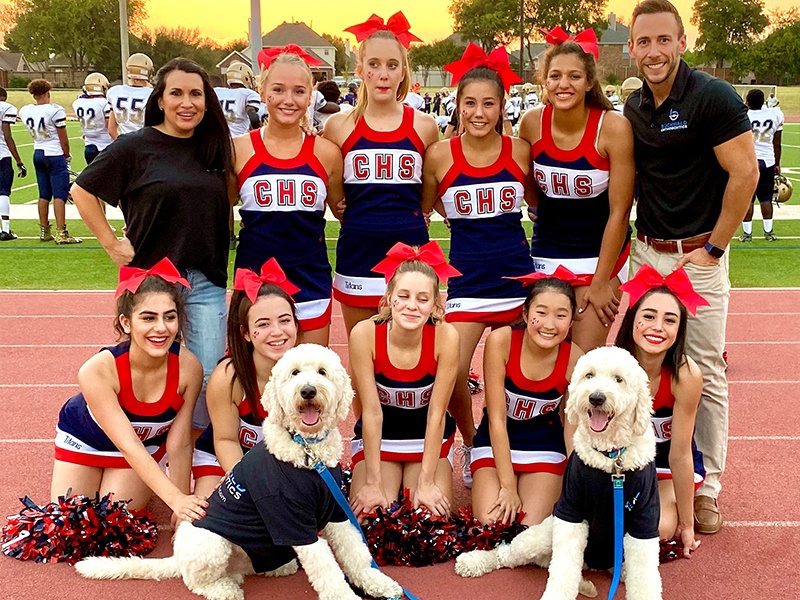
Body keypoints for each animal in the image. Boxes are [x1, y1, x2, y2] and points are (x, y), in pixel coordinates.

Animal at [77, 342, 404, 600]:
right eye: (295, 373)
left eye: (322, 372)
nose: (308, 391)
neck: (307, 454)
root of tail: (177, 557)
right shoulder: (293, 521)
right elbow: (328, 569)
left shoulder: (337, 511)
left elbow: (356, 554)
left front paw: (379, 583)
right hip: (212, 545)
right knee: (195, 581)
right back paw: (224, 588)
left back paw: (276, 567)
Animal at [544, 346, 664, 600]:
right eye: (589, 375)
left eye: (619, 379)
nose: (596, 397)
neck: (611, 458)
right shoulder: (570, 511)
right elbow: (563, 568)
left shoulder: (644, 520)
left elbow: (645, 577)